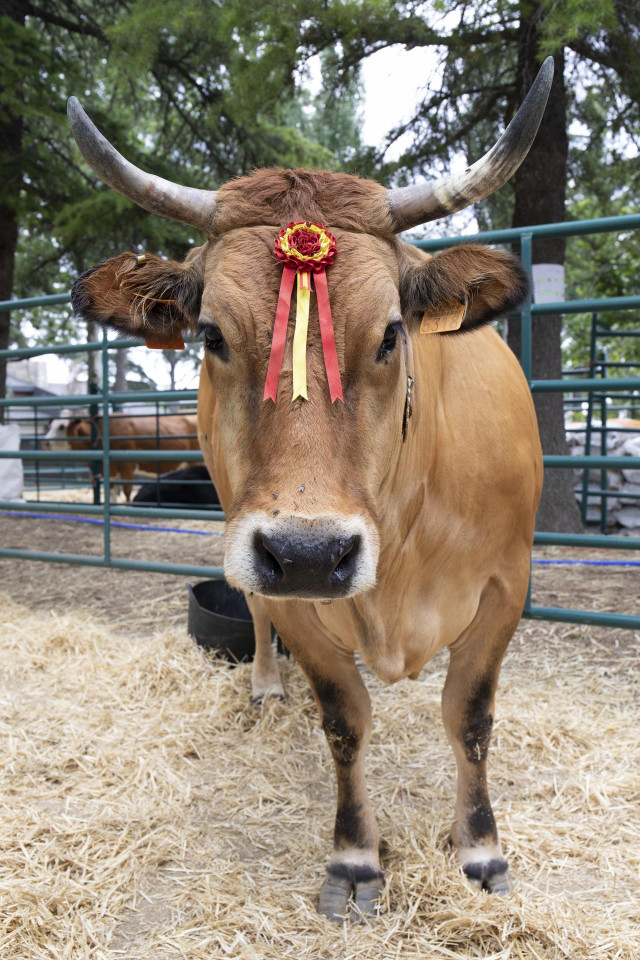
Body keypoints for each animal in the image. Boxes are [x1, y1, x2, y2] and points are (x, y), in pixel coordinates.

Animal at [43, 411, 200, 500]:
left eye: (62, 427)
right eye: (50, 426)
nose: (45, 442)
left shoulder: (127, 466)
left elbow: (127, 490)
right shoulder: (110, 469)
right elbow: (111, 490)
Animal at [66, 57, 552, 920]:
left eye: (391, 334)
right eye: (211, 335)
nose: (308, 552)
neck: (405, 525)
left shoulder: (506, 586)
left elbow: (469, 717)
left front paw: (480, 848)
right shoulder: (290, 587)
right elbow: (345, 720)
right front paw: (355, 860)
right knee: (258, 614)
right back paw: (266, 685)